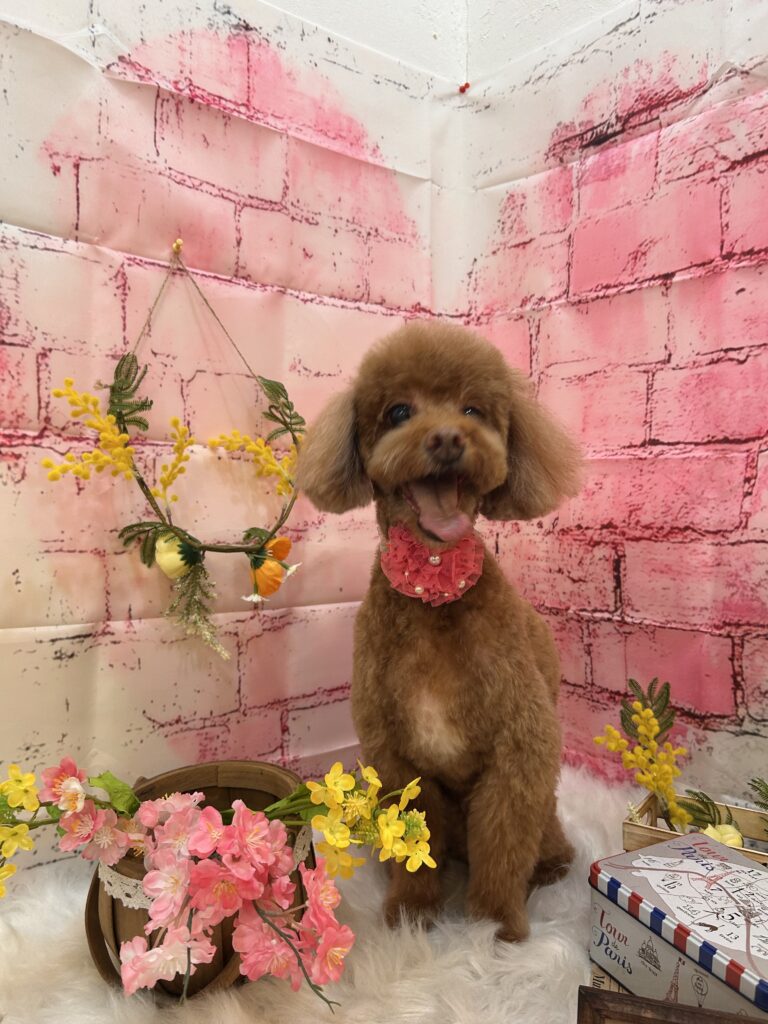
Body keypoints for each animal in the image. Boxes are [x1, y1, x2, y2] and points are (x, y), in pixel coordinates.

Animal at [297, 321, 581, 942]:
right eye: (399, 411)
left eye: (473, 409)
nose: (449, 437)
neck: (434, 586)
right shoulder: (393, 753)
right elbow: (408, 842)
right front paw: (411, 913)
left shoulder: (518, 747)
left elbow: (502, 844)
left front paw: (495, 927)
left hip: (545, 809)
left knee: (542, 840)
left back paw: (550, 868)